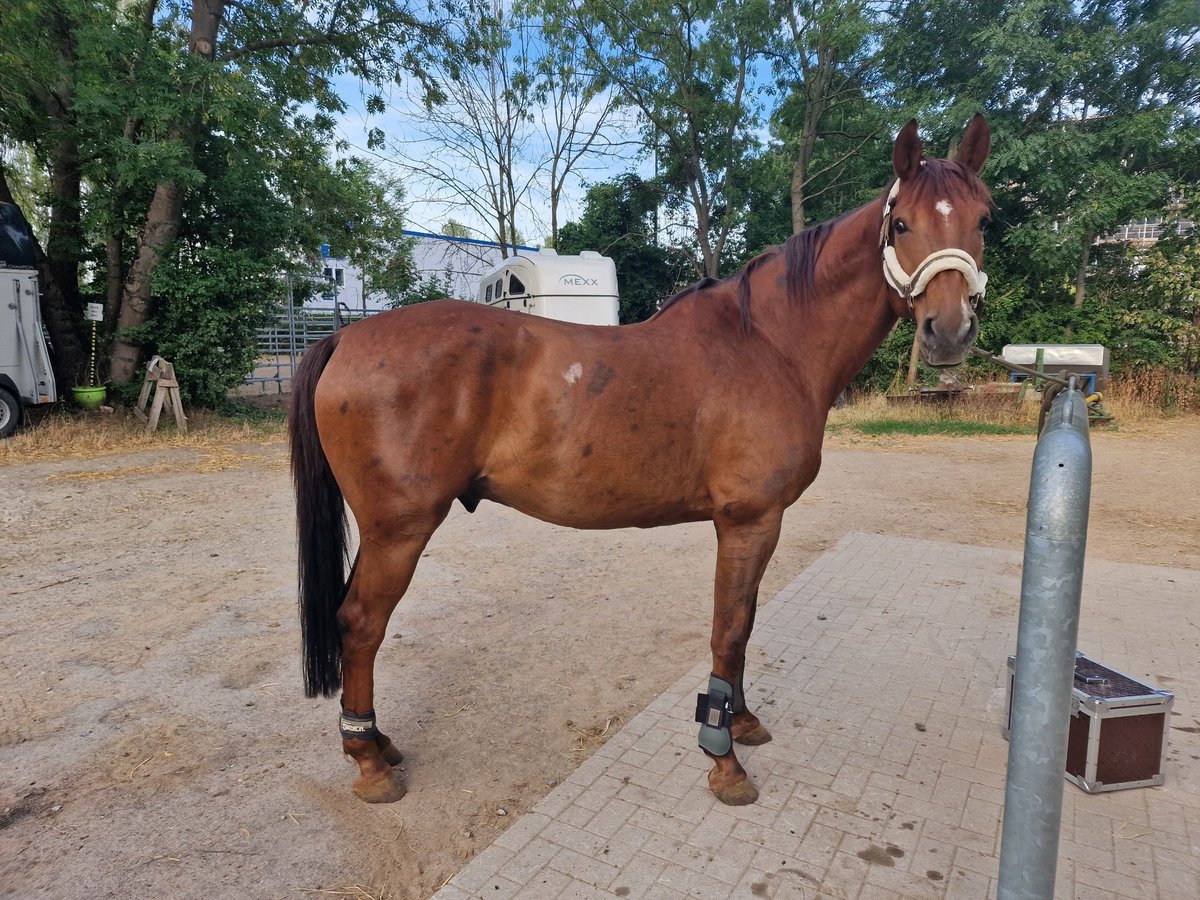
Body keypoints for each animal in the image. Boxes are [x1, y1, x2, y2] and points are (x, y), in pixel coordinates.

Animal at [290, 116, 993, 806]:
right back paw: (368, 760)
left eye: (983, 219)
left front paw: (742, 721)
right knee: (360, 623)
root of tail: (346, 335)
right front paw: (723, 759)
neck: (769, 345)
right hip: (400, 529)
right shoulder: (748, 520)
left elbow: (745, 623)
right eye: (901, 224)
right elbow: (729, 629)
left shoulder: (756, 524)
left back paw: (378, 744)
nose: (948, 331)